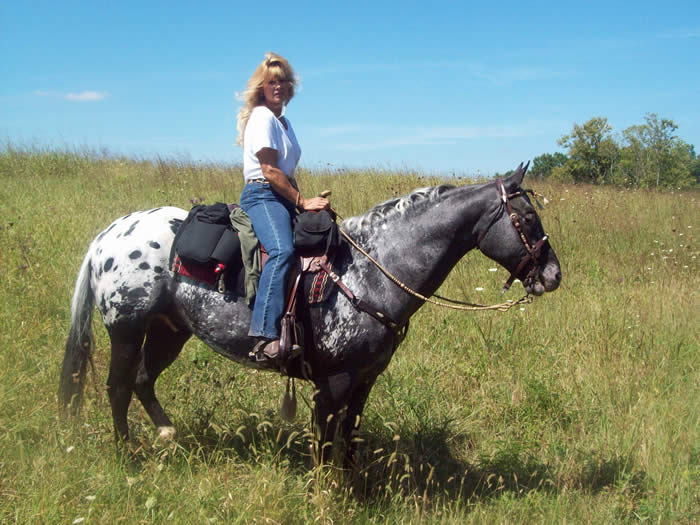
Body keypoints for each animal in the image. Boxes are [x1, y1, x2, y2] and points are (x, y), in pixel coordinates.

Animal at [59, 163, 561, 466]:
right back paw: (126, 452)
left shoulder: (364, 379)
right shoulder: (332, 381)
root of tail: (108, 235)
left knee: (144, 380)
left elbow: (349, 437)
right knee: (119, 387)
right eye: (527, 220)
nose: (553, 275)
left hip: (170, 331)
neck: (372, 267)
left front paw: (353, 486)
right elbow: (323, 444)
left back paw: (167, 434)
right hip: (127, 330)